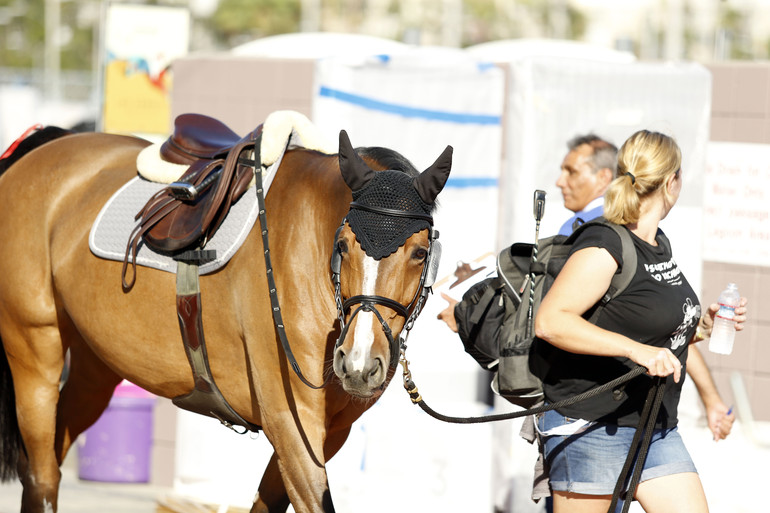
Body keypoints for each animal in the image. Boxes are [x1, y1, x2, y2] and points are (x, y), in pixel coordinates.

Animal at [0, 122, 450, 510]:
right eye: (342, 244)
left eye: (419, 253)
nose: (358, 363)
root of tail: (46, 146)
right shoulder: (291, 424)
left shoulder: (327, 434)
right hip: (35, 353)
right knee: (42, 475)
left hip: (94, 370)